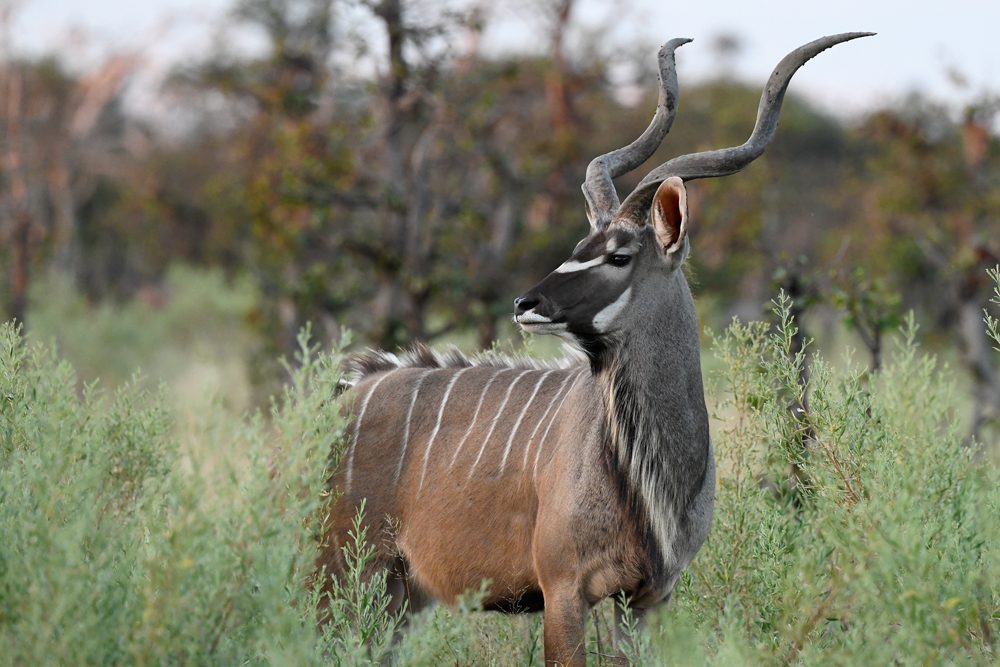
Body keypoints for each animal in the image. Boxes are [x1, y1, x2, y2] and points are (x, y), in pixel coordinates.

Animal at [324, 32, 872, 667]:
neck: (648, 479)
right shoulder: (563, 589)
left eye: (618, 255)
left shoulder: (647, 595)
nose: (526, 303)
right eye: (579, 245)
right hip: (341, 571)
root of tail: (342, 397)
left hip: (403, 594)